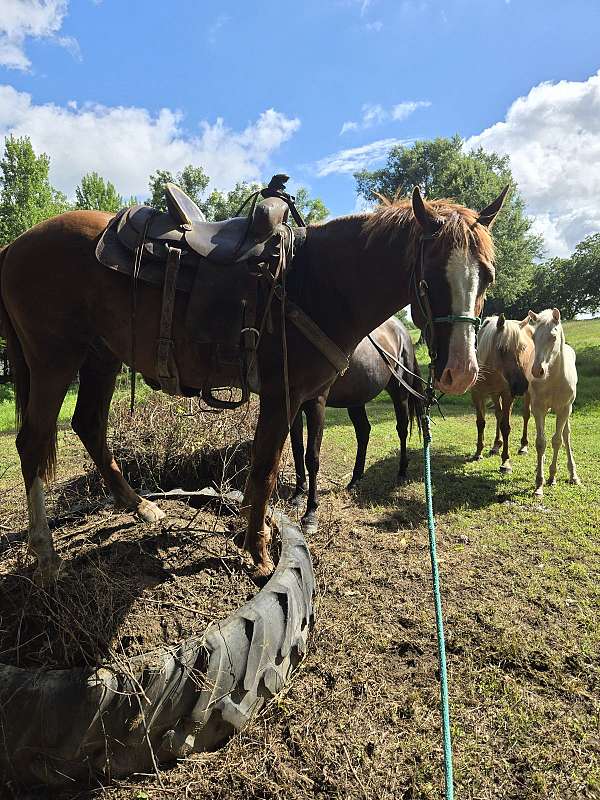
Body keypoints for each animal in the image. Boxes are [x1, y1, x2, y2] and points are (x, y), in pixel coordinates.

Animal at [289, 316, 422, 533]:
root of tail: (401, 330)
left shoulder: (316, 403)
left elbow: (312, 457)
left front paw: (310, 514)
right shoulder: (291, 404)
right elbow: (297, 449)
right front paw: (298, 494)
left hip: (399, 392)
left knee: (401, 429)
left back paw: (402, 472)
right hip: (356, 400)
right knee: (363, 432)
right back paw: (355, 480)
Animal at [470, 313, 533, 471]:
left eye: (523, 348)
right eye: (502, 349)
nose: (520, 386)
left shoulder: (507, 395)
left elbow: (506, 426)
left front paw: (505, 462)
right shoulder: (477, 395)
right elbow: (481, 423)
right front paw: (478, 452)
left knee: (525, 415)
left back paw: (523, 446)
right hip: (495, 394)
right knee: (499, 414)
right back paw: (496, 445)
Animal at [526, 308, 580, 496]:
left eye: (553, 337)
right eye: (534, 337)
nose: (537, 371)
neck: (554, 378)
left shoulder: (564, 409)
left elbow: (557, 441)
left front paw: (552, 477)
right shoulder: (538, 408)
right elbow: (540, 442)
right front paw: (539, 484)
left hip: (567, 410)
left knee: (566, 435)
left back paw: (573, 475)